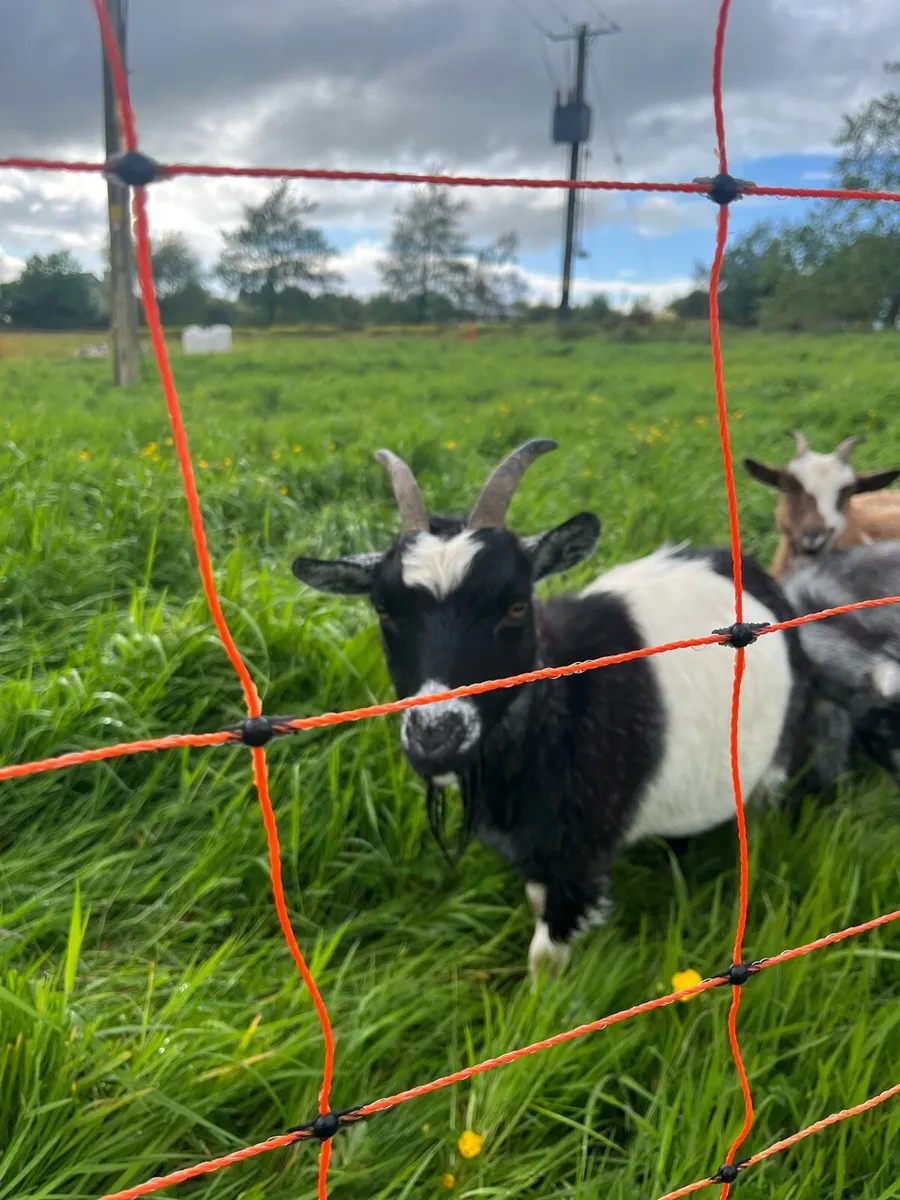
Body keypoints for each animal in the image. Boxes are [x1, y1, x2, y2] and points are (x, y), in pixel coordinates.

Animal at [291, 440, 814, 979]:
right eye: (384, 609)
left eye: (517, 605)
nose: (435, 736)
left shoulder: (577, 857)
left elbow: (545, 954)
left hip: (778, 758)